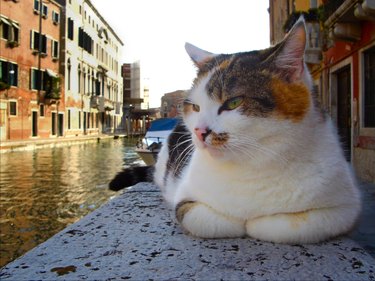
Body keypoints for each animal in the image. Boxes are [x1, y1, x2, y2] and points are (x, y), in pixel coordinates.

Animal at [110, 19, 362, 243]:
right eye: (195, 107)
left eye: (233, 103)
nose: (199, 131)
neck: (251, 167)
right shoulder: (184, 196)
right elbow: (209, 220)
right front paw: (240, 222)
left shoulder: (345, 208)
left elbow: (285, 225)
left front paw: (256, 222)